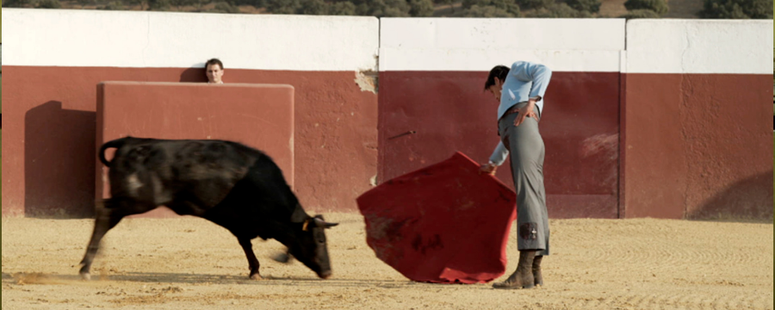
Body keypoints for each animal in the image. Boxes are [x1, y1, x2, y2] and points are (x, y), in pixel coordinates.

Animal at [80, 137, 338, 280]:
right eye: (320, 240)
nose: (328, 273)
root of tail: (129, 141)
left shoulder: (240, 223)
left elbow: (245, 243)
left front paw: (255, 270)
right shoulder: (245, 219)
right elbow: (248, 242)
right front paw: (256, 270)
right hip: (138, 200)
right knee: (105, 212)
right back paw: (86, 267)